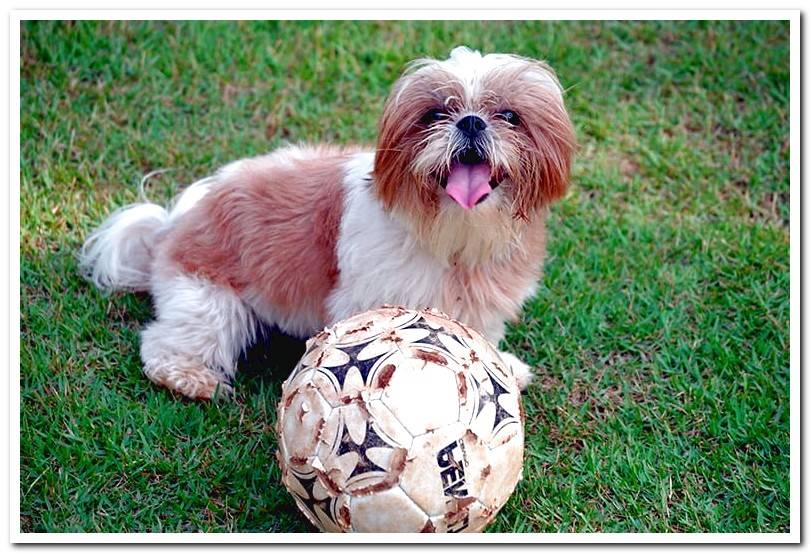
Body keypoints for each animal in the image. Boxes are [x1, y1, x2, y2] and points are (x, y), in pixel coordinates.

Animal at [81, 46, 576, 396]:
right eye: (435, 114)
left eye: (509, 116)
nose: (471, 122)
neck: (452, 235)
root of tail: (172, 223)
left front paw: (500, 367)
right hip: (205, 297)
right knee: (170, 340)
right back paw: (188, 377)